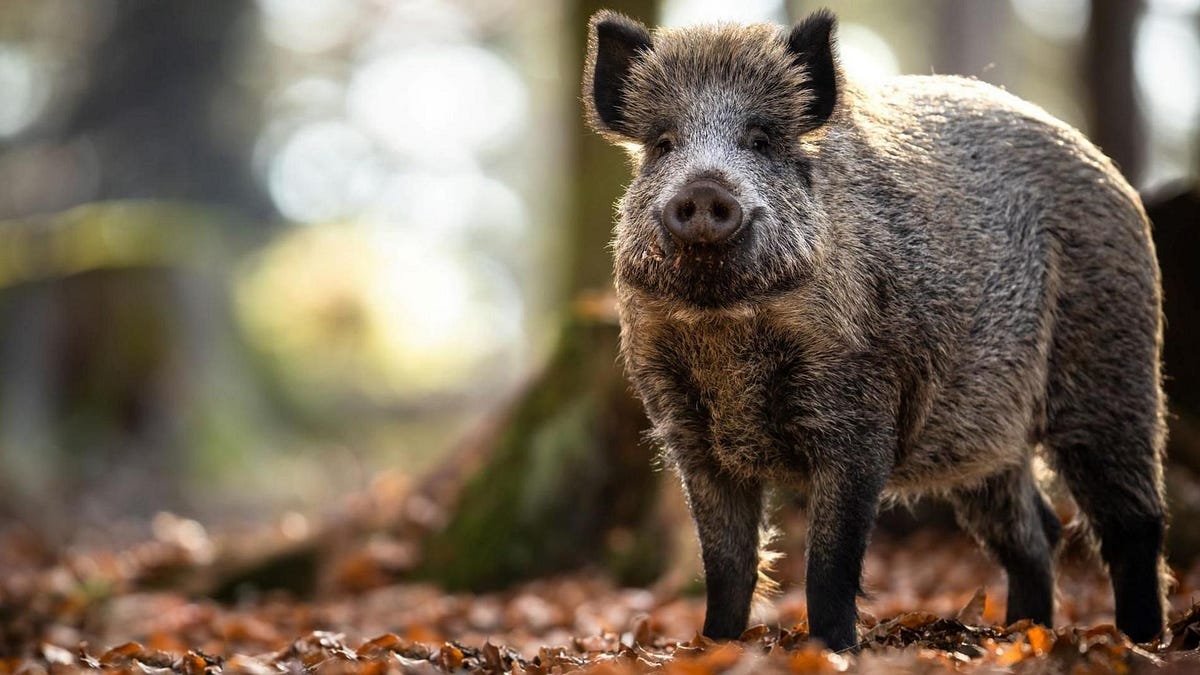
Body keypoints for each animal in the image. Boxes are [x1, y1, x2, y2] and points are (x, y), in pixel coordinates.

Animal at [582, 8, 1168, 652]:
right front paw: (716, 648)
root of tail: (1111, 173)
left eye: (760, 141)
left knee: (1132, 523)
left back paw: (1141, 642)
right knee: (1035, 531)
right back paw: (1022, 634)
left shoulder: (859, 412)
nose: (705, 189)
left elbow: (830, 561)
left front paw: (834, 651)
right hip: (983, 434)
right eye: (663, 145)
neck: (726, 328)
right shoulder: (686, 431)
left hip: (1114, 365)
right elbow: (727, 565)